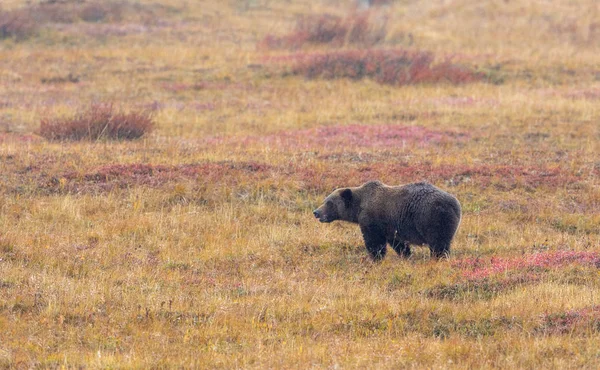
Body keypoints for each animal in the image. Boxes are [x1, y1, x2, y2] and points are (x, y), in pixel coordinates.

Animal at [312, 181, 462, 258]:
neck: (359, 206)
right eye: (325, 200)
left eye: (330, 203)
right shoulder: (391, 227)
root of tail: (455, 203)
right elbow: (398, 243)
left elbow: (374, 242)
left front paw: (375, 258)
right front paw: (406, 255)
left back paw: (438, 258)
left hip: (433, 218)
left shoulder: (373, 221)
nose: (316, 212)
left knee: (439, 243)